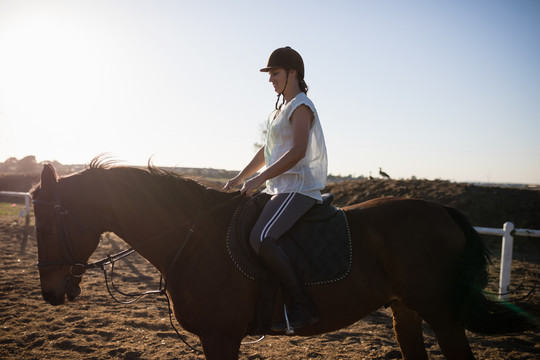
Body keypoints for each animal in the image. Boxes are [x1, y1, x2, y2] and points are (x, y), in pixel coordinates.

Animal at [31, 162, 532, 358]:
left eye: (47, 227)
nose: (51, 294)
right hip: (405, 311)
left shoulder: (220, 336)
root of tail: (441, 210)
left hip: (441, 313)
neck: (191, 238)